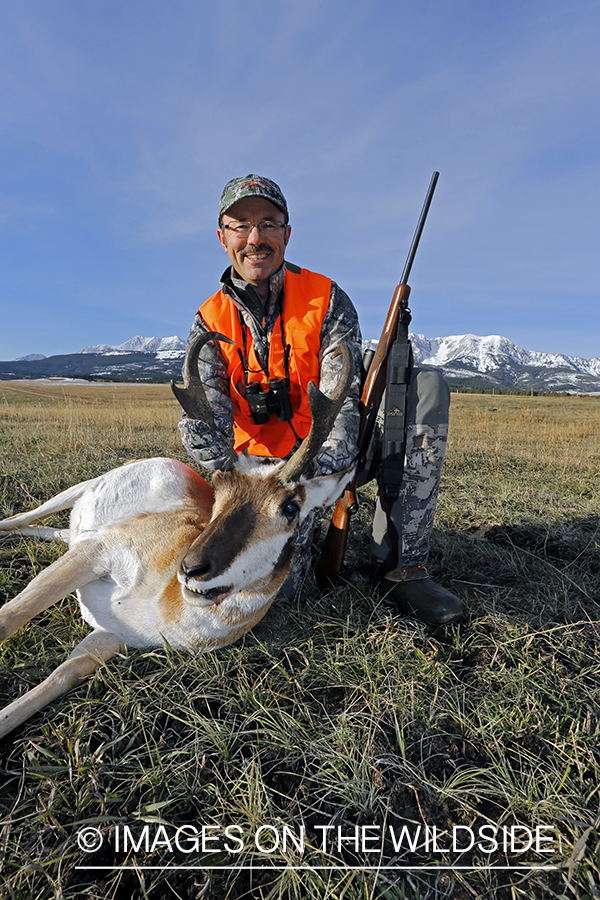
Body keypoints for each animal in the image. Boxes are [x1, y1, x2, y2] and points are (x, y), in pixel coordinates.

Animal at [0, 332, 356, 740]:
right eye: (217, 486)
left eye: (290, 507)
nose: (192, 568)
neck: (163, 601)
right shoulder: (97, 551)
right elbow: (11, 616)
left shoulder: (111, 637)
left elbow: (62, 675)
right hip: (75, 498)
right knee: (18, 518)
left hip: (71, 535)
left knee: (44, 530)